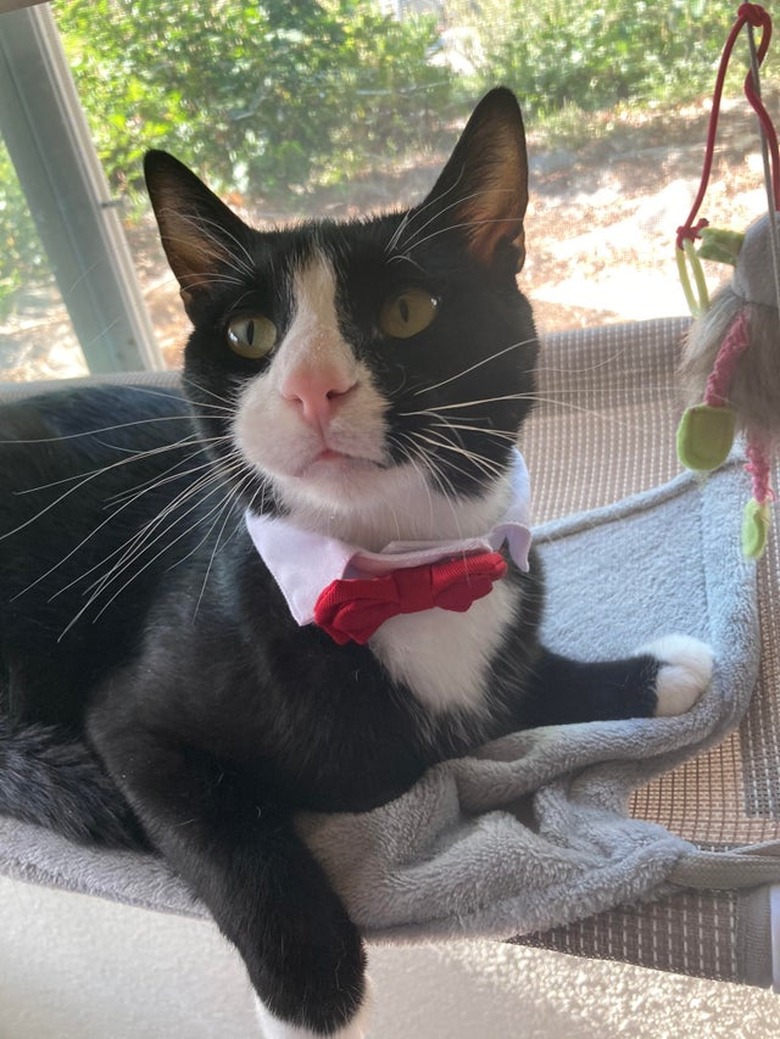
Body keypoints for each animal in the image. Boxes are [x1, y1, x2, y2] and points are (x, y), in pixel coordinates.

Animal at [0, 91, 714, 1039]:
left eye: (409, 310)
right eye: (250, 333)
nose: (313, 387)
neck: (401, 568)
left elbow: (521, 684)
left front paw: (656, 671)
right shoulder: (135, 722)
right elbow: (235, 837)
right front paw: (311, 993)